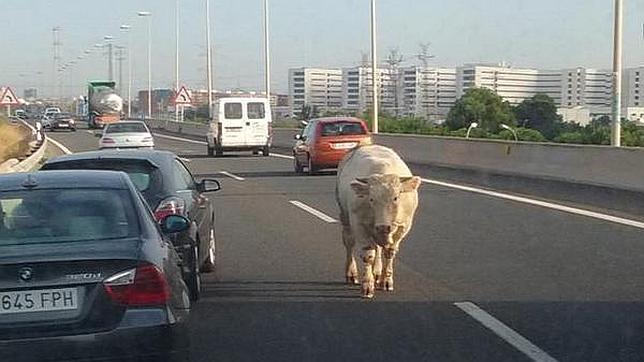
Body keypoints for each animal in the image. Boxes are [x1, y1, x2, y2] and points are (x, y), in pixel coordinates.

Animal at [338, 146, 422, 298]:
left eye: (396, 198)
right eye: (371, 199)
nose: (384, 227)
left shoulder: (403, 227)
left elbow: (389, 252)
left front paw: (386, 281)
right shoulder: (359, 225)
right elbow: (368, 255)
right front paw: (367, 286)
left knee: (378, 247)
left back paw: (377, 273)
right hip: (345, 217)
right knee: (349, 243)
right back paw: (351, 273)